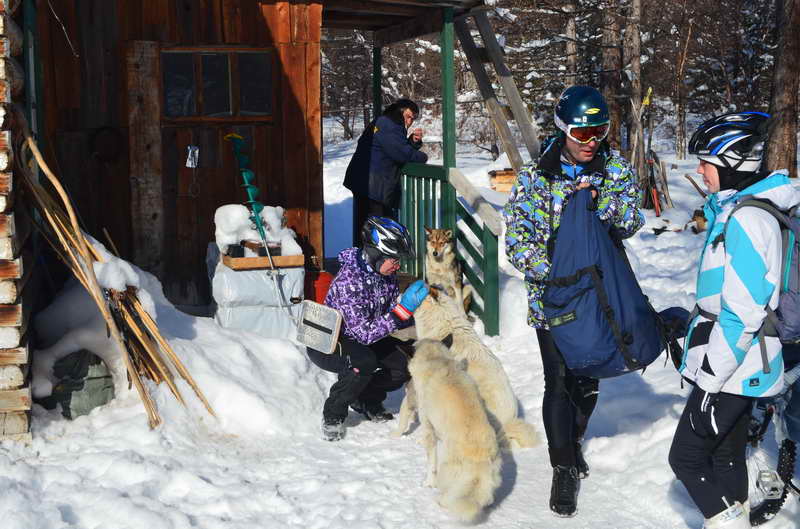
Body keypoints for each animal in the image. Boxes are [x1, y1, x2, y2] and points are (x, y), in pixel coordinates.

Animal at [406, 338, 500, 520]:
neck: (436, 359)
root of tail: (480, 457)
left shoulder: (428, 428)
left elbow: (430, 464)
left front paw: (428, 483)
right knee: (486, 498)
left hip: (448, 469)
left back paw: (441, 500)